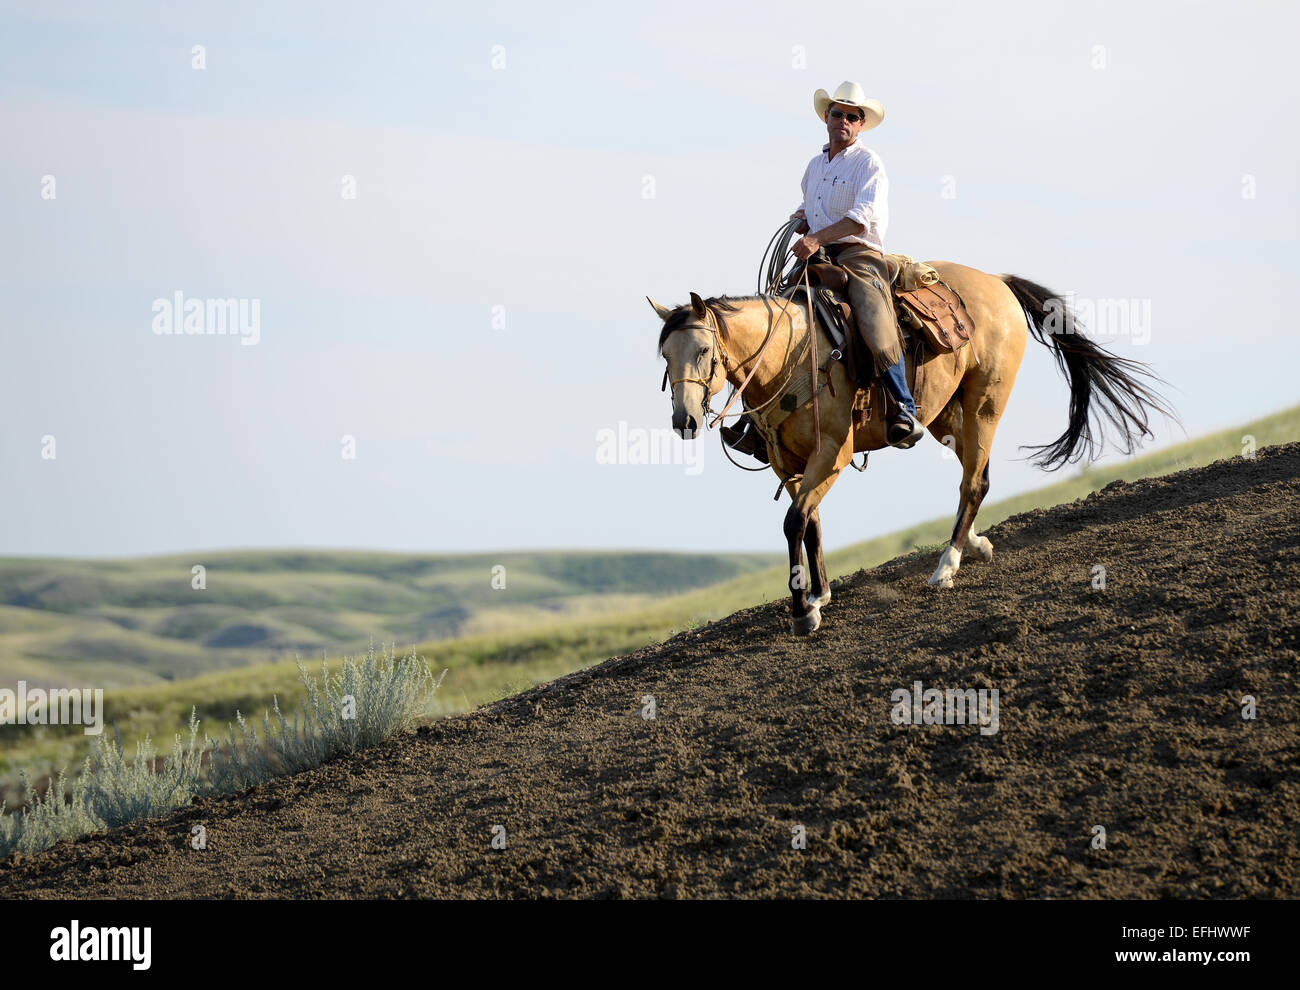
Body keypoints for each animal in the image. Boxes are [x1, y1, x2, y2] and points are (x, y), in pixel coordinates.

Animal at [651, 263, 1176, 634]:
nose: (685, 421)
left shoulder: (832, 454)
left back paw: (947, 565)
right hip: (945, 416)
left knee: (972, 482)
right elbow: (811, 523)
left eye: (702, 351)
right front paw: (819, 594)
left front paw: (803, 612)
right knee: (977, 476)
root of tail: (997, 281)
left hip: (984, 403)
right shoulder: (788, 462)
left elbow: (794, 521)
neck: (792, 355)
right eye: (665, 356)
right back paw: (974, 544)